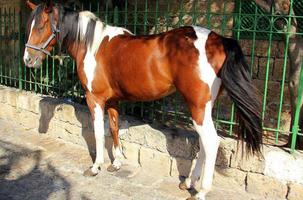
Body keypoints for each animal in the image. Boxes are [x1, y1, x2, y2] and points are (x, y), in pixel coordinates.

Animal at [23, 0, 264, 199]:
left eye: (41, 26)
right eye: (30, 26)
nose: (28, 60)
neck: (92, 45)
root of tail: (218, 40)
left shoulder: (95, 99)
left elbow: (98, 133)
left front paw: (95, 167)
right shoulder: (113, 101)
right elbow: (113, 129)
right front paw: (116, 163)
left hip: (197, 106)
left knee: (211, 142)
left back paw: (201, 191)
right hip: (204, 108)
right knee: (204, 143)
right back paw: (188, 182)